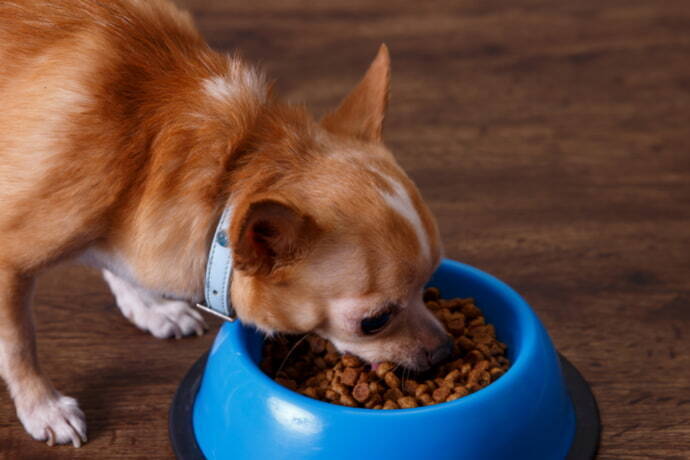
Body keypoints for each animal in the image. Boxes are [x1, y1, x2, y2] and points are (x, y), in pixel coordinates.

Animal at [0, 0, 448, 446]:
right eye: (373, 323)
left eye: (428, 286)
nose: (447, 349)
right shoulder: (10, 261)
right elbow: (19, 343)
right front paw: (43, 407)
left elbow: (115, 263)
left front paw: (149, 307)